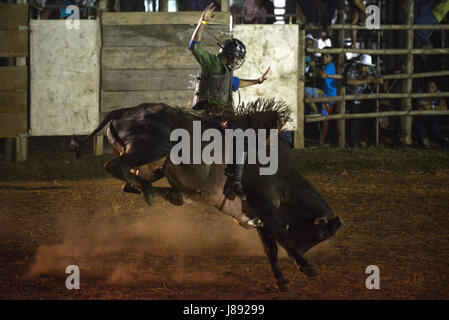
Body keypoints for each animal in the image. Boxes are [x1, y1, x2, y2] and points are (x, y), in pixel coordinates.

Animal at [71, 102, 344, 290]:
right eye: (322, 234)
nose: (301, 252)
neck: (281, 173)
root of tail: (126, 110)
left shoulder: (259, 215)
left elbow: (271, 248)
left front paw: (281, 279)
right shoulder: (265, 205)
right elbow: (283, 238)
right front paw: (306, 266)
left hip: (152, 162)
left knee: (129, 183)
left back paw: (171, 194)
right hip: (153, 146)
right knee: (115, 167)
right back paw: (156, 193)